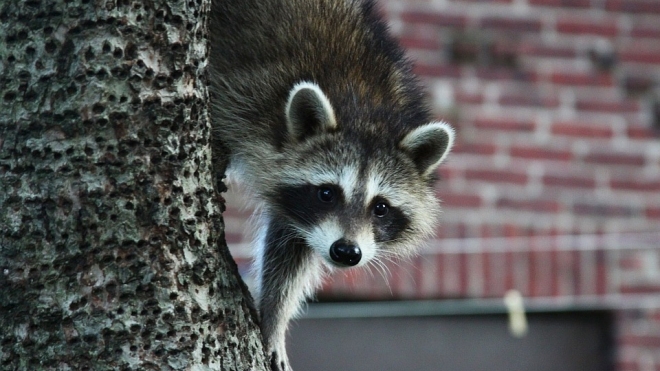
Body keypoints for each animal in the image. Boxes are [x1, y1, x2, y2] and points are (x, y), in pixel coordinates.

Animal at [210, 1, 454, 370]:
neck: (365, 111)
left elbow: (291, 250)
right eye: (327, 193)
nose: (346, 252)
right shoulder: (245, 93)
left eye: (381, 207)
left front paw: (274, 317)